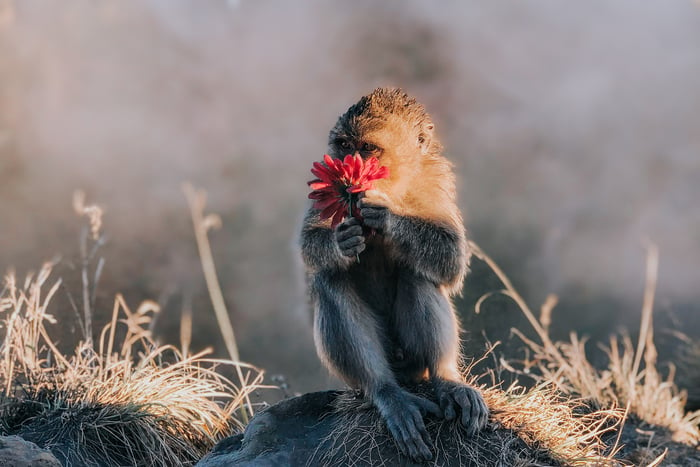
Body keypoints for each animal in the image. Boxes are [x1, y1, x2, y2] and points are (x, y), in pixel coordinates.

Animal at [300, 88, 486, 464]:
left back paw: (445, 378)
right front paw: (342, 241)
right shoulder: (326, 187)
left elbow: (451, 259)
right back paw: (387, 392)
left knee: (418, 272)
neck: (395, 182)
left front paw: (385, 214)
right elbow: (310, 245)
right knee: (331, 279)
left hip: (411, 360)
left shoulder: (436, 179)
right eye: (344, 144)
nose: (350, 164)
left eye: (368, 148)